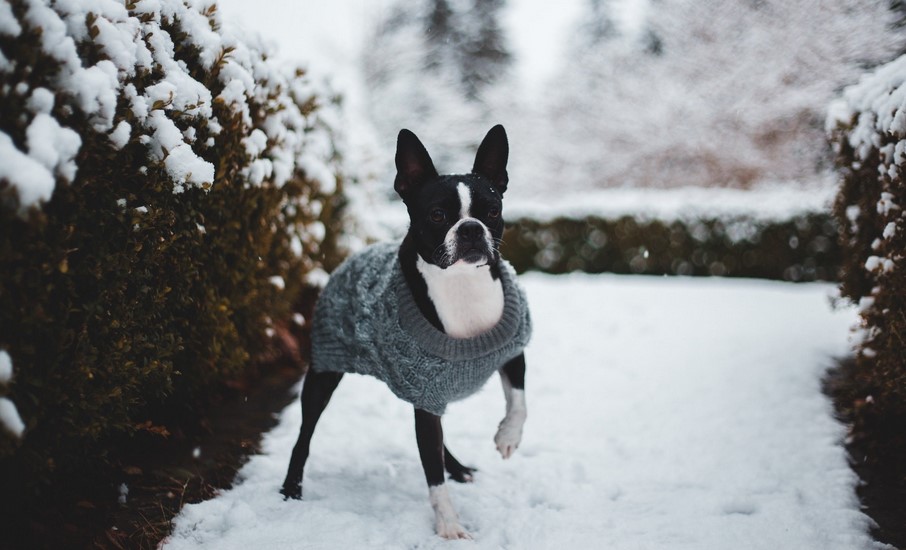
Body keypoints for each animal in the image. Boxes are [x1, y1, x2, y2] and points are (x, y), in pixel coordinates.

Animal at [278, 126, 528, 544]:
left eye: (492, 211)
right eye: (438, 215)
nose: (471, 229)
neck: (461, 284)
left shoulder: (511, 349)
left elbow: (519, 402)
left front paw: (507, 437)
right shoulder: (425, 393)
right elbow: (432, 475)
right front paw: (448, 525)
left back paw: (459, 468)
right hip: (324, 373)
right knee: (304, 434)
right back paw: (291, 487)